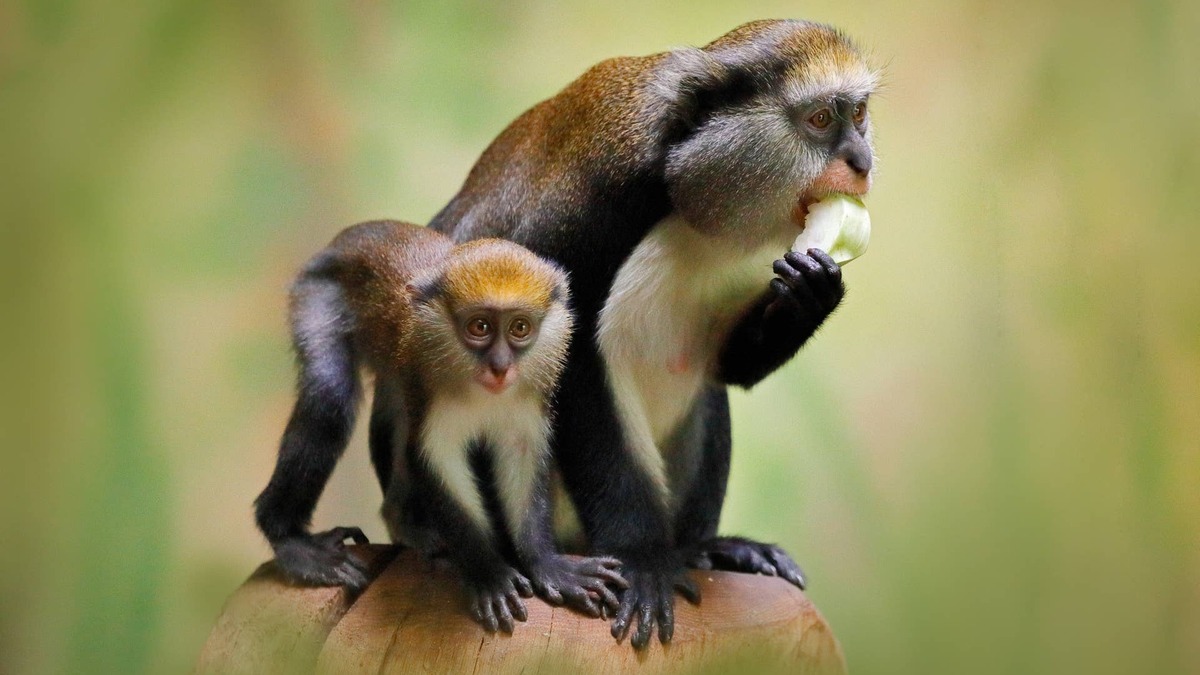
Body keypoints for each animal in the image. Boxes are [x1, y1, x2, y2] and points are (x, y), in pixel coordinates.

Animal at [254, 220, 626, 632]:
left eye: (520, 328)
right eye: (479, 326)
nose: (500, 367)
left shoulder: (526, 406)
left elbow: (522, 459)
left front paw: (548, 565)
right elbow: (437, 462)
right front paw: (489, 575)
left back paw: (403, 520)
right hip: (317, 296)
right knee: (328, 397)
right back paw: (290, 540)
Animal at [423, 20, 879, 647]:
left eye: (858, 114)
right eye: (819, 120)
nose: (862, 161)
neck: (681, 182)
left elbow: (731, 367)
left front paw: (813, 292)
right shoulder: (586, 209)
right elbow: (567, 368)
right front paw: (641, 559)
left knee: (709, 388)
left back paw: (707, 549)